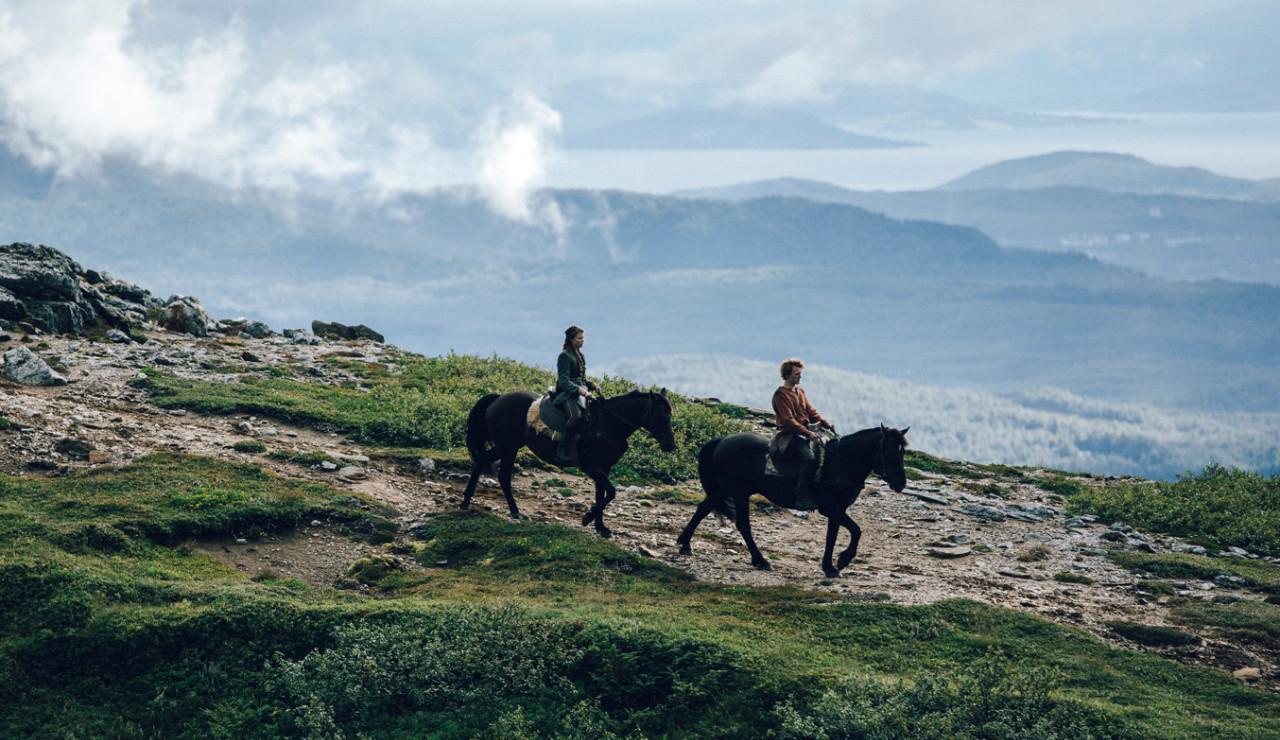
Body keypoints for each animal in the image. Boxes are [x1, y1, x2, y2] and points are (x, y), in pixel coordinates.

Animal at [463, 386, 680, 535]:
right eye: (659, 414)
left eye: (670, 414)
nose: (670, 445)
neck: (608, 424)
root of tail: (498, 398)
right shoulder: (591, 466)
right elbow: (610, 492)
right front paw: (587, 517)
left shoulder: (605, 467)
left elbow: (601, 495)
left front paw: (601, 528)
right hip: (508, 448)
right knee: (504, 477)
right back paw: (515, 512)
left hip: (505, 447)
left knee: (482, 460)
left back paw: (465, 501)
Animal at [680, 425, 911, 576]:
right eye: (891, 452)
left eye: (903, 452)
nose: (900, 483)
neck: (841, 464)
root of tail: (722, 441)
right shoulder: (831, 508)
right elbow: (856, 530)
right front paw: (843, 560)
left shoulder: (837, 510)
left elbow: (832, 537)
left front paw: (829, 567)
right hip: (736, 491)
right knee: (739, 523)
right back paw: (759, 560)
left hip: (730, 491)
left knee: (705, 509)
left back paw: (685, 544)